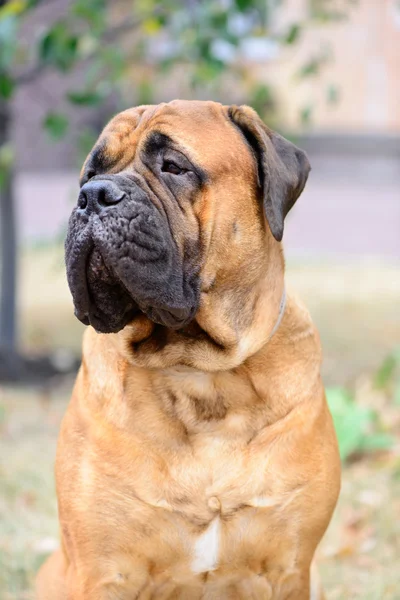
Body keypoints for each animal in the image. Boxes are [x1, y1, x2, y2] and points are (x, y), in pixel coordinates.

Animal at [36, 101, 340, 596]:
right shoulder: (104, 571)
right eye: (91, 173)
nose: (92, 196)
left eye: (174, 166)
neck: (200, 373)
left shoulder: (290, 568)